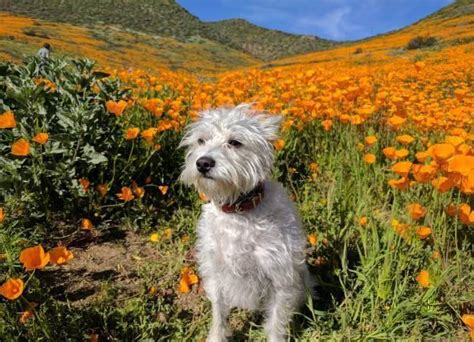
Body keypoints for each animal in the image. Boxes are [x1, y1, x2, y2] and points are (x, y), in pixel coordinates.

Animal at [180, 104, 310, 342]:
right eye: (201, 140)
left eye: (235, 142)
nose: (203, 163)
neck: (238, 214)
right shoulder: (216, 272)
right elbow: (219, 314)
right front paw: (217, 337)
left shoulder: (280, 277)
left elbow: (276, 322)